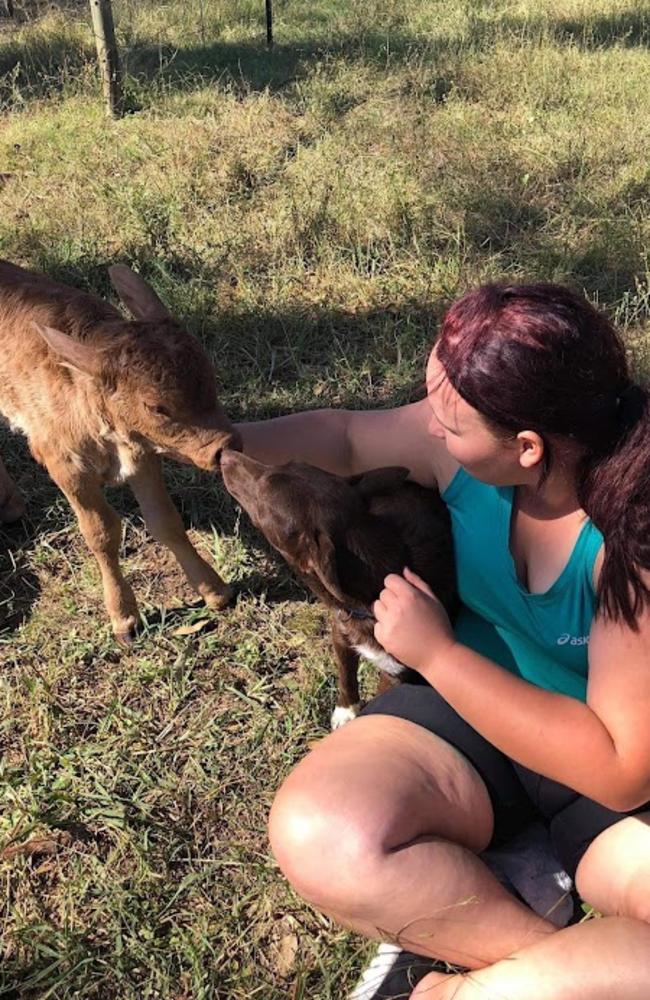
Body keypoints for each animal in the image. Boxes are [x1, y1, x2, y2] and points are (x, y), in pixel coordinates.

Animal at [0, 260, 240, 640]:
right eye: (156, 407)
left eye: (210, 374)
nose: (227, 446)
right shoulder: (65, 465)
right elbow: (101, 532)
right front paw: (124, 617)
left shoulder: (143, 457)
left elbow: (165, 521)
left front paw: (215, 590)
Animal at [220, 452, 454, 728]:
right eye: (285, 463)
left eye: (263, 495)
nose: (224, 455)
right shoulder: (340, 631)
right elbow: (346, 675)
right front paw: (346, 710)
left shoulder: (398, 674)